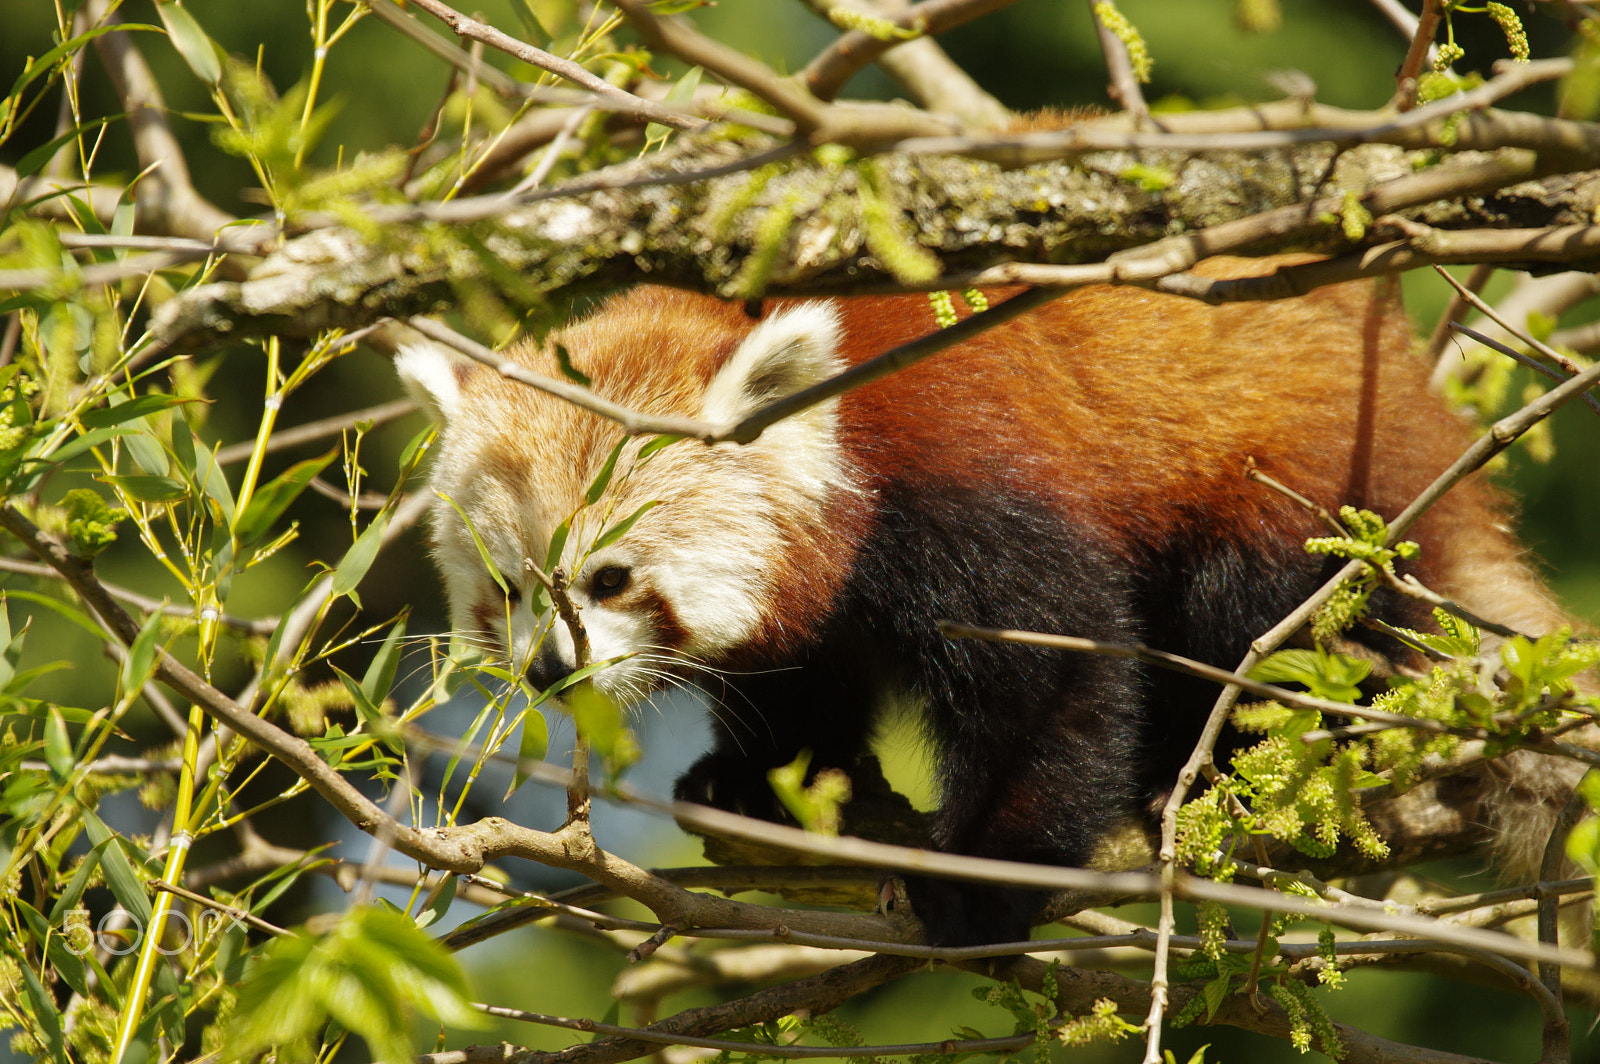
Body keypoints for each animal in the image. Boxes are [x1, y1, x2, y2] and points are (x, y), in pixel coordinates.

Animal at [396, 257, 1574, 947]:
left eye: (608, 577)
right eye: (506, 589)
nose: (550, 670)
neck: (846, 443)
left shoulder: (966, 477)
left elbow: (1052, 673)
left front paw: (985, 877)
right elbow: (800, 674)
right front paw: (766, 781)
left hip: (1300, 488)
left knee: (1257, 628)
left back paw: (1202, 777)